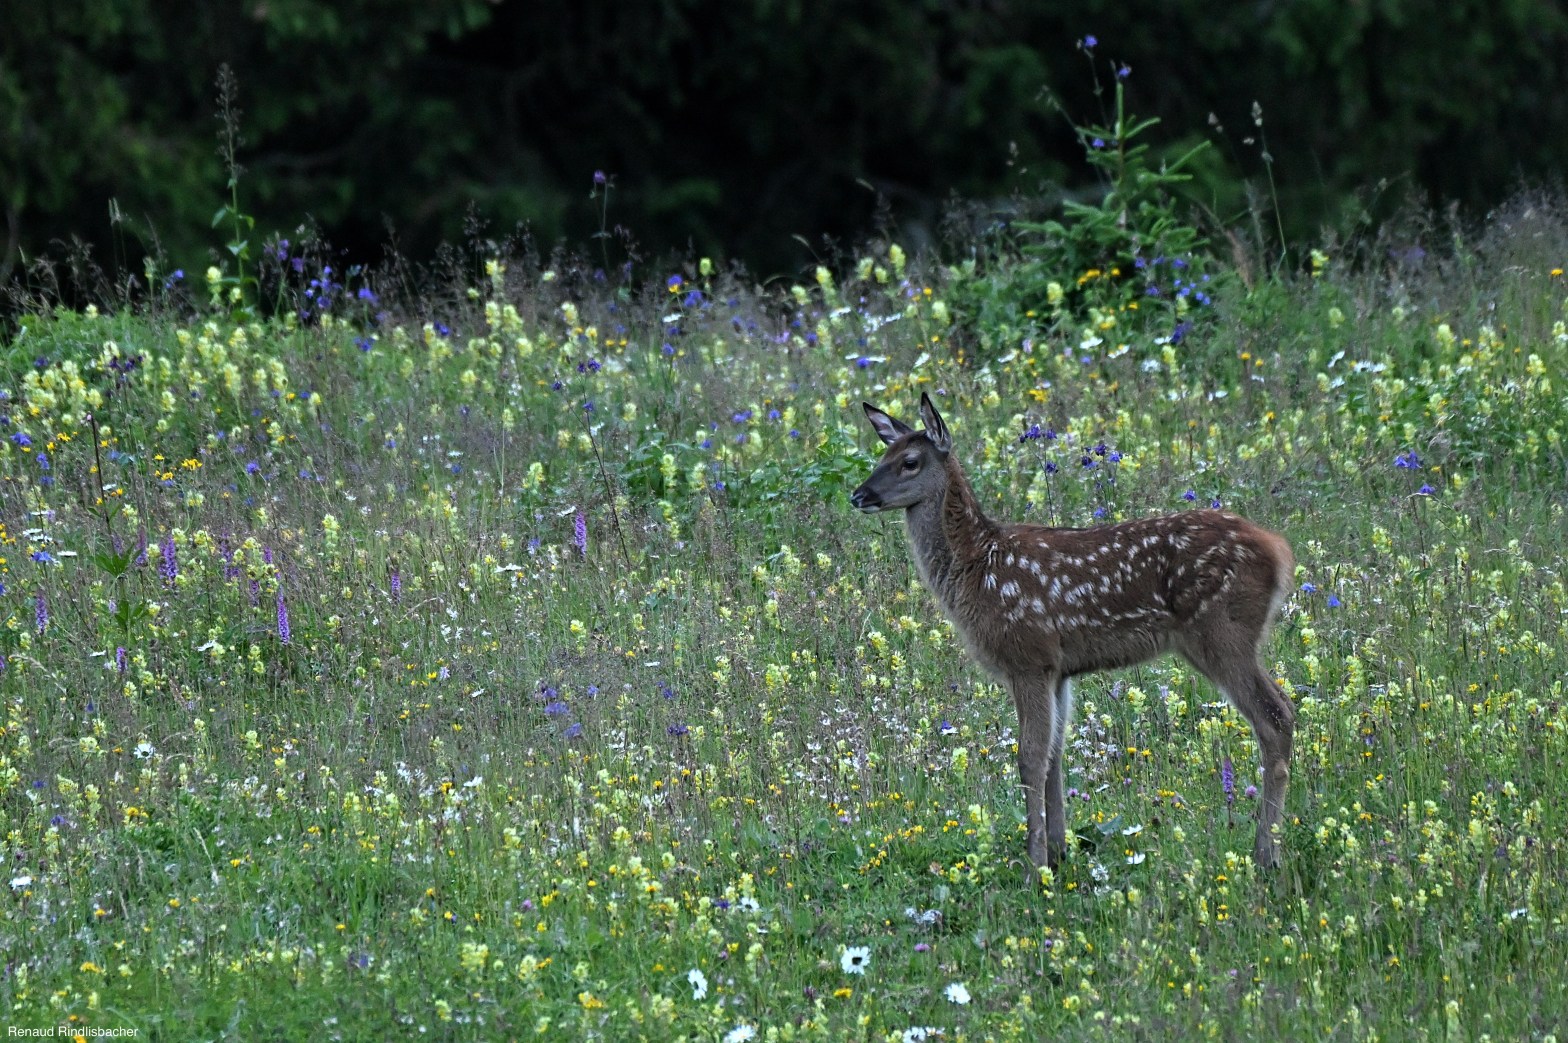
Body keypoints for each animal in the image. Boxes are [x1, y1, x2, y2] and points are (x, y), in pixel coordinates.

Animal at [850, 393, 1296, 872]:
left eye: (910, 462)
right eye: (881, 457)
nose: (859, 494)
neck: (977, 566)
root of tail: (1278, 550)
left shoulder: (1027, 656)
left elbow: (1029, 757)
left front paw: (1034, 864)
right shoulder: (1058, 668)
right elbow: (1054, 755)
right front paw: (1060, 851)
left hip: (1221, 632)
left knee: (1275, 718)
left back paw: (1267, 854)